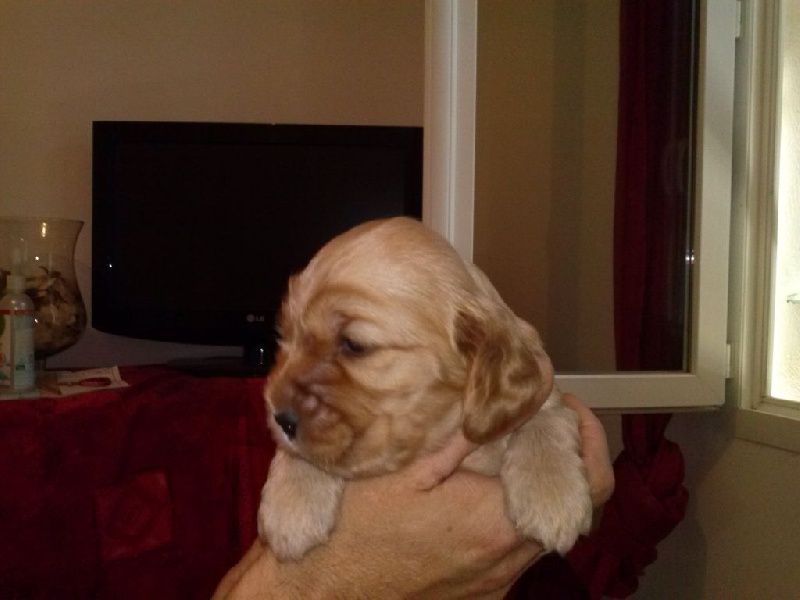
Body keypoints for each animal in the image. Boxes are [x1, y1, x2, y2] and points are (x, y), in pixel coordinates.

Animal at [258, 217, 592, 561]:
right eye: (284, 337)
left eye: (354, 345)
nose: (280, 419)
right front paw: (291, 506)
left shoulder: (546, 394)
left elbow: (546, 420)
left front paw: (552, 497)